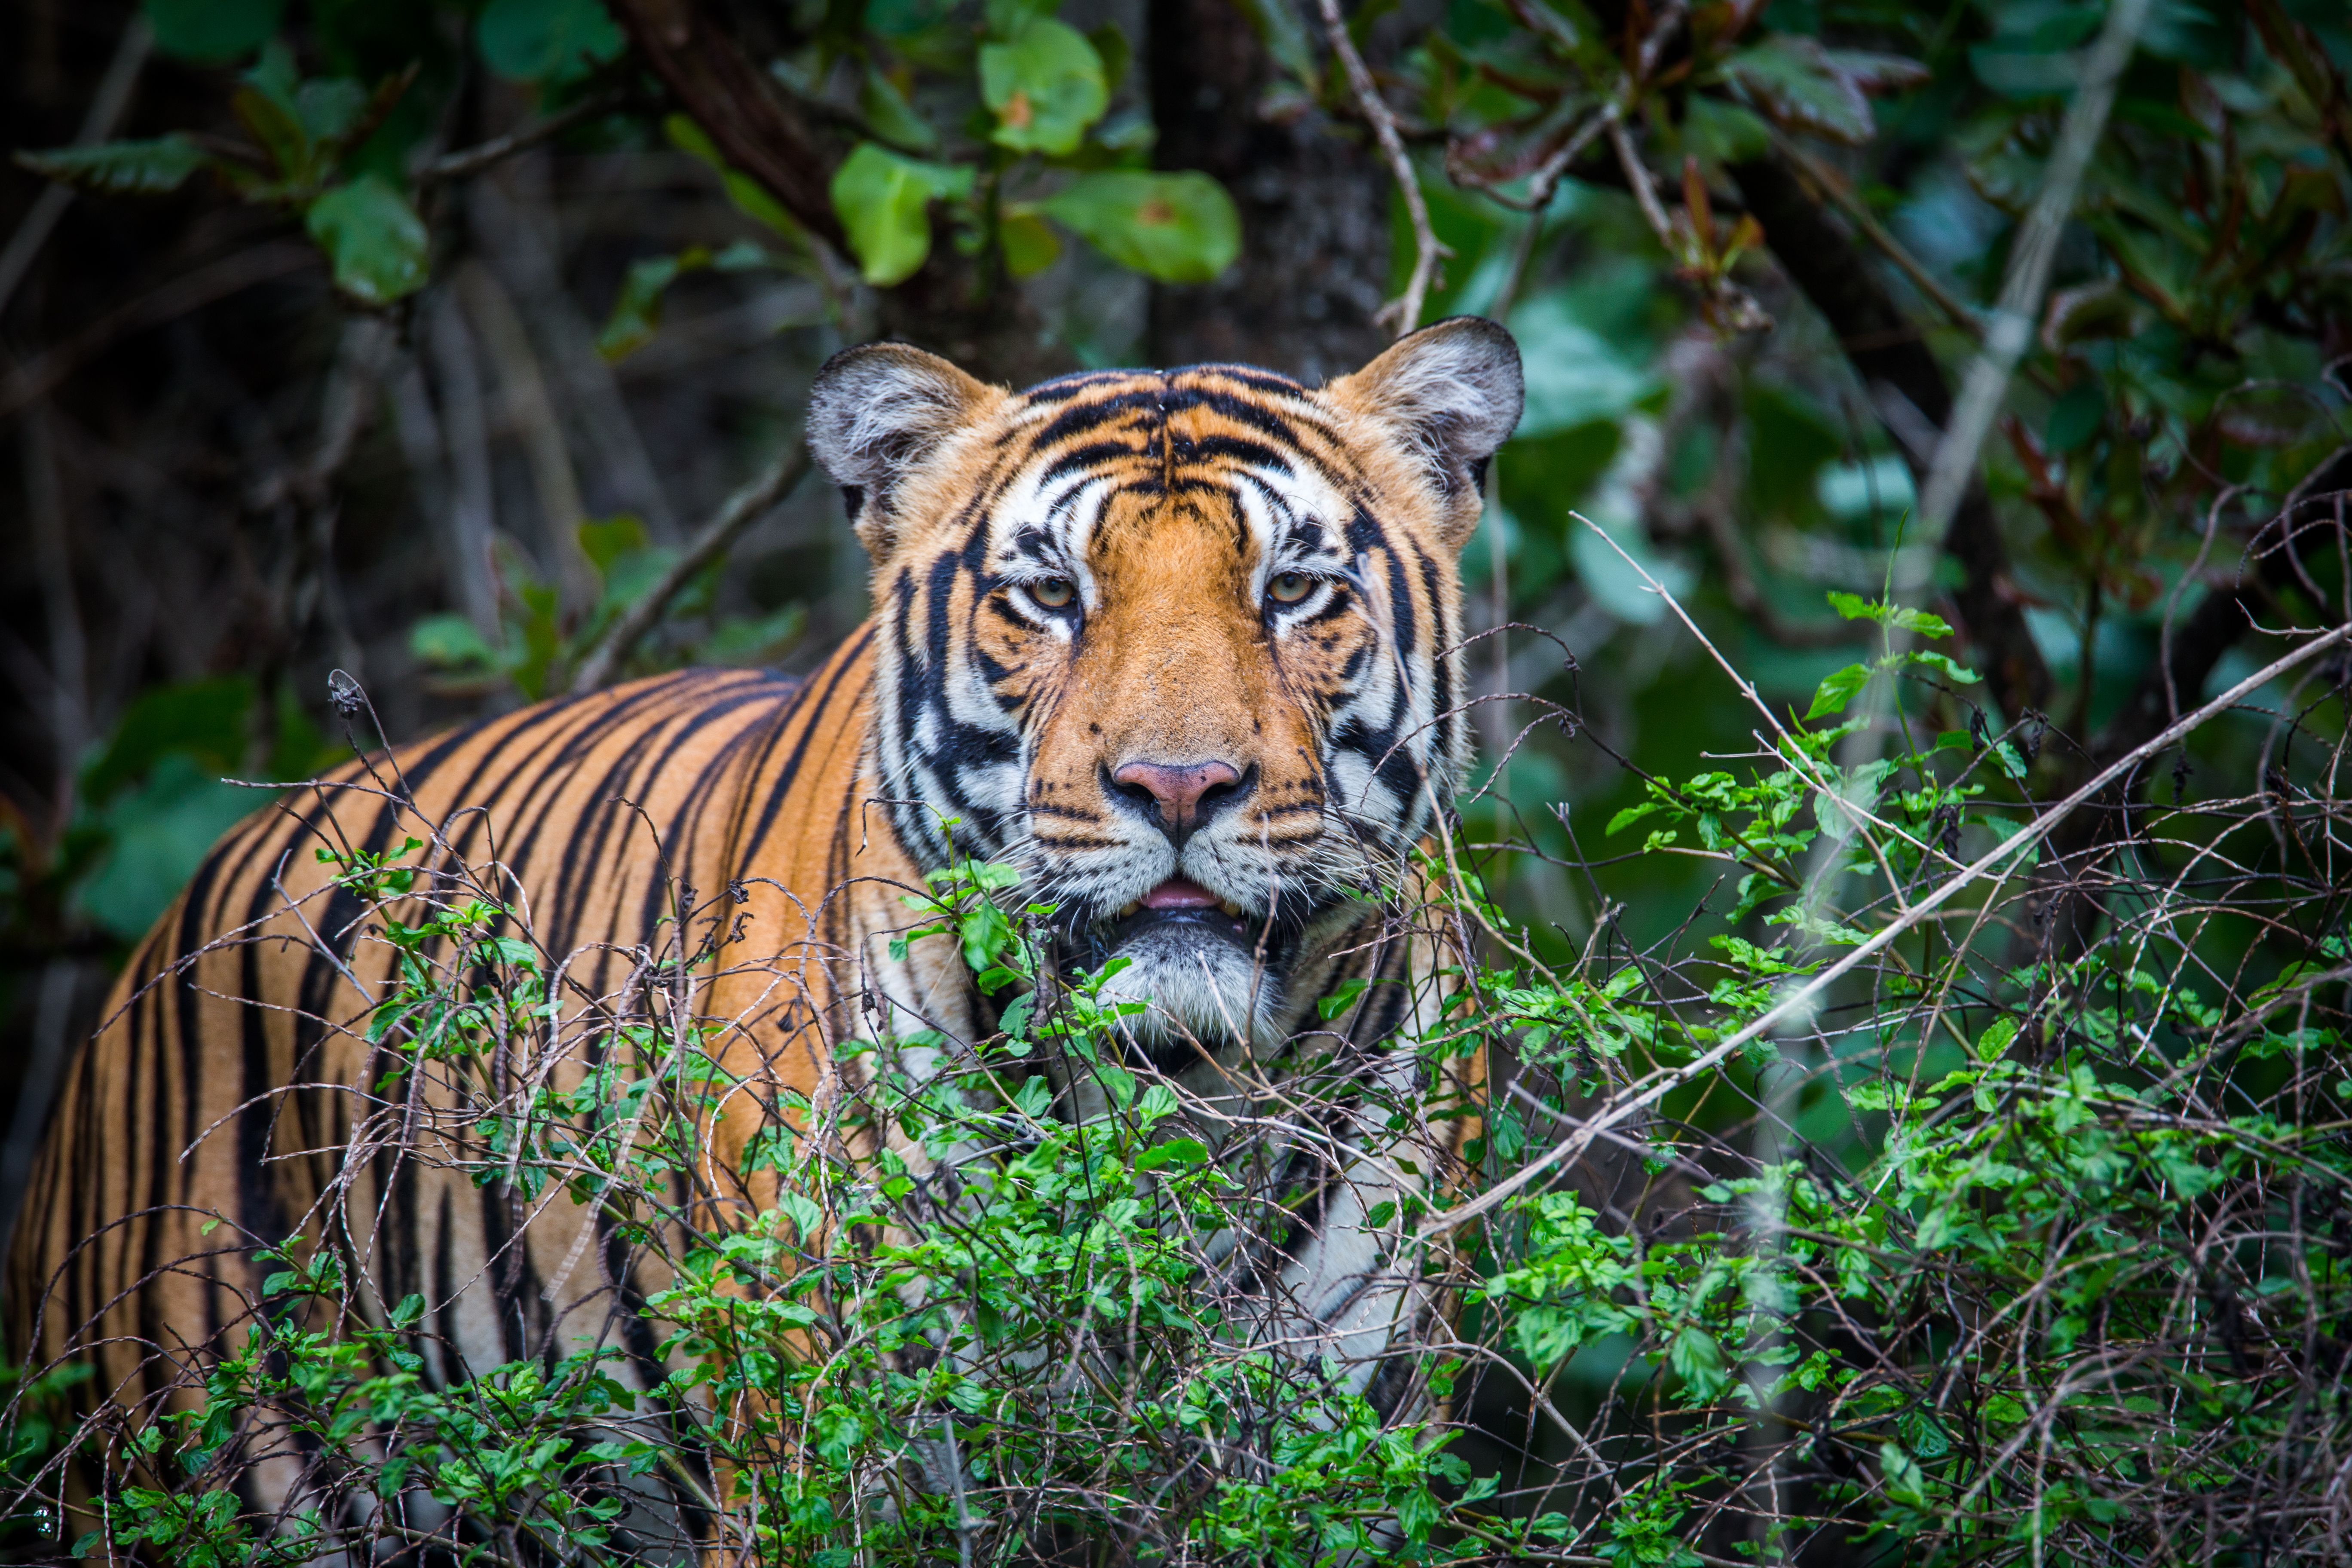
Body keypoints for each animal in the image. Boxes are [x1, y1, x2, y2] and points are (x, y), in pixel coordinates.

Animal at [9, 319, 1524, 1561]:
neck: (1181, 1099)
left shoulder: (1348, 1437)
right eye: (1048, 597)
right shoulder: (851, 1456)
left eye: (1294, 591)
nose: (1179, 784)